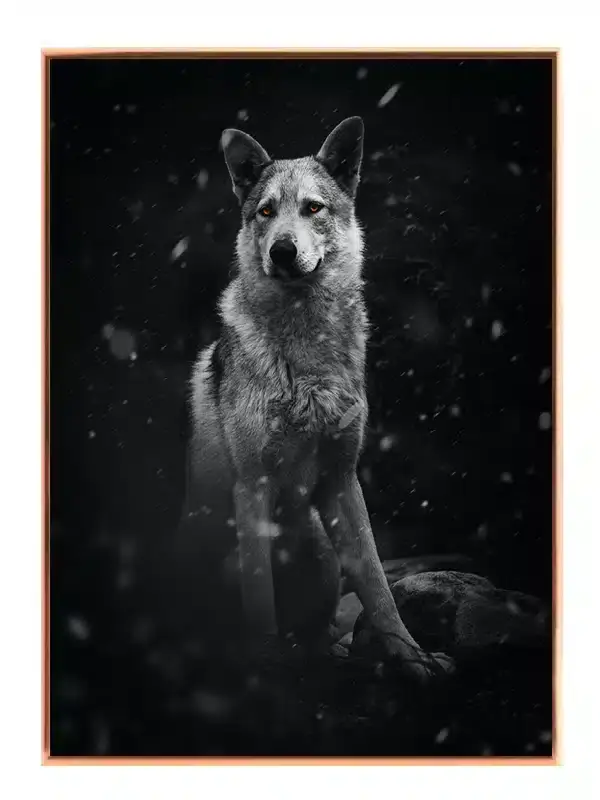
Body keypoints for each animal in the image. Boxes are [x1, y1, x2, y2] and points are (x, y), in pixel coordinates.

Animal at [178, 117, 453, 681]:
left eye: (313, 208)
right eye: (266, 211)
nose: (282, 251)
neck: (306, 363)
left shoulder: (342, 480)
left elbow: (378, 586)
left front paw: (414, 657)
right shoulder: (252, 487)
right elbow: (259, 596)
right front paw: (265, 664)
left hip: (323, 551)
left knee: (322, 630)